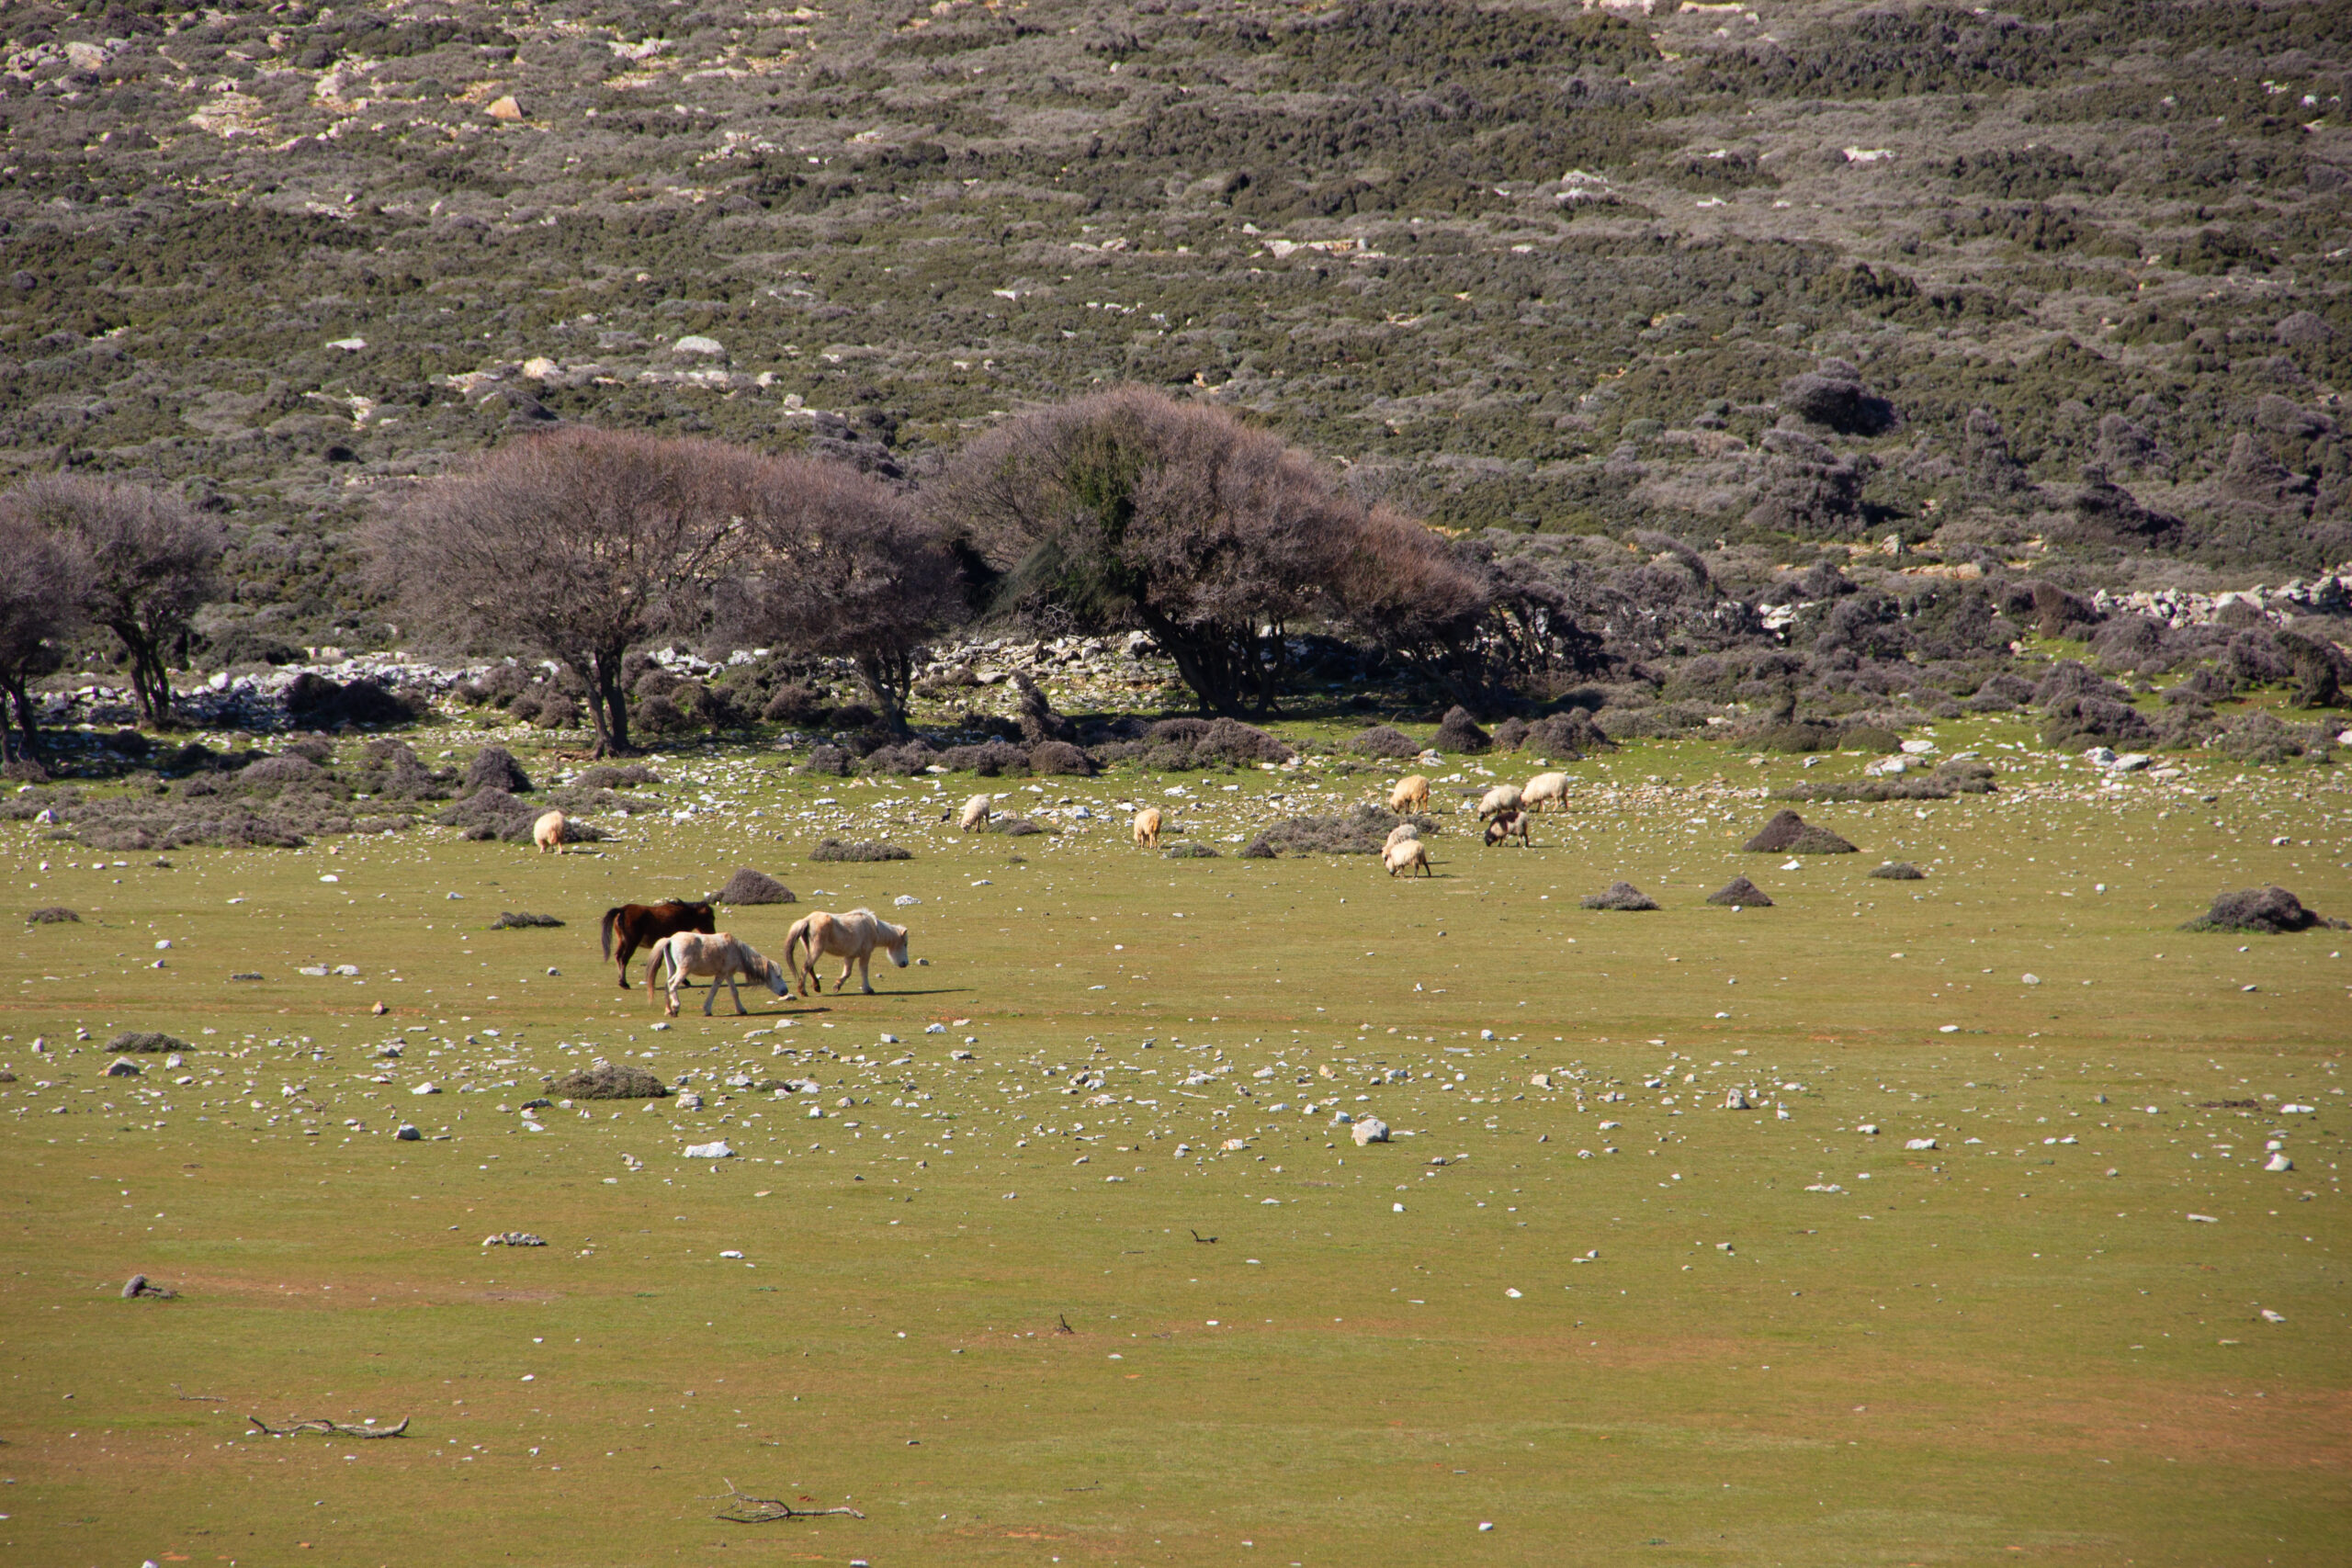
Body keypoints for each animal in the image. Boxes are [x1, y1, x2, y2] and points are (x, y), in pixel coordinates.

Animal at [648, 931, 790, 1017]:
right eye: (778, 976)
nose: (785, 991)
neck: (737, 951)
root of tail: (670, 940)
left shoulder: (728, 974)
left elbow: (734, 992)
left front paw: (741, 1010)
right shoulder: (721, 974)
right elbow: (714, 991)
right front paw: (707, 1010)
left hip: (672, 968)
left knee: (667, 984)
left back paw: (668, 1010)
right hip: (683, 970)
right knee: (673, 984)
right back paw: (675, 1007)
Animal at [782, 908, 911, 997]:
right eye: (905, 944)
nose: (905, 963)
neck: (873, 928)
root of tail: (807, 920)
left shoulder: (850, 956)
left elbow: (847, 972)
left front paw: (837, 986)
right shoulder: (865, 954)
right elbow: (864, 971)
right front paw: (868, 989)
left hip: (809, 949)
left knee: (810, 967)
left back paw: (816, 987)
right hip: (817, 950)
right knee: (806, 967)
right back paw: (803, 991)